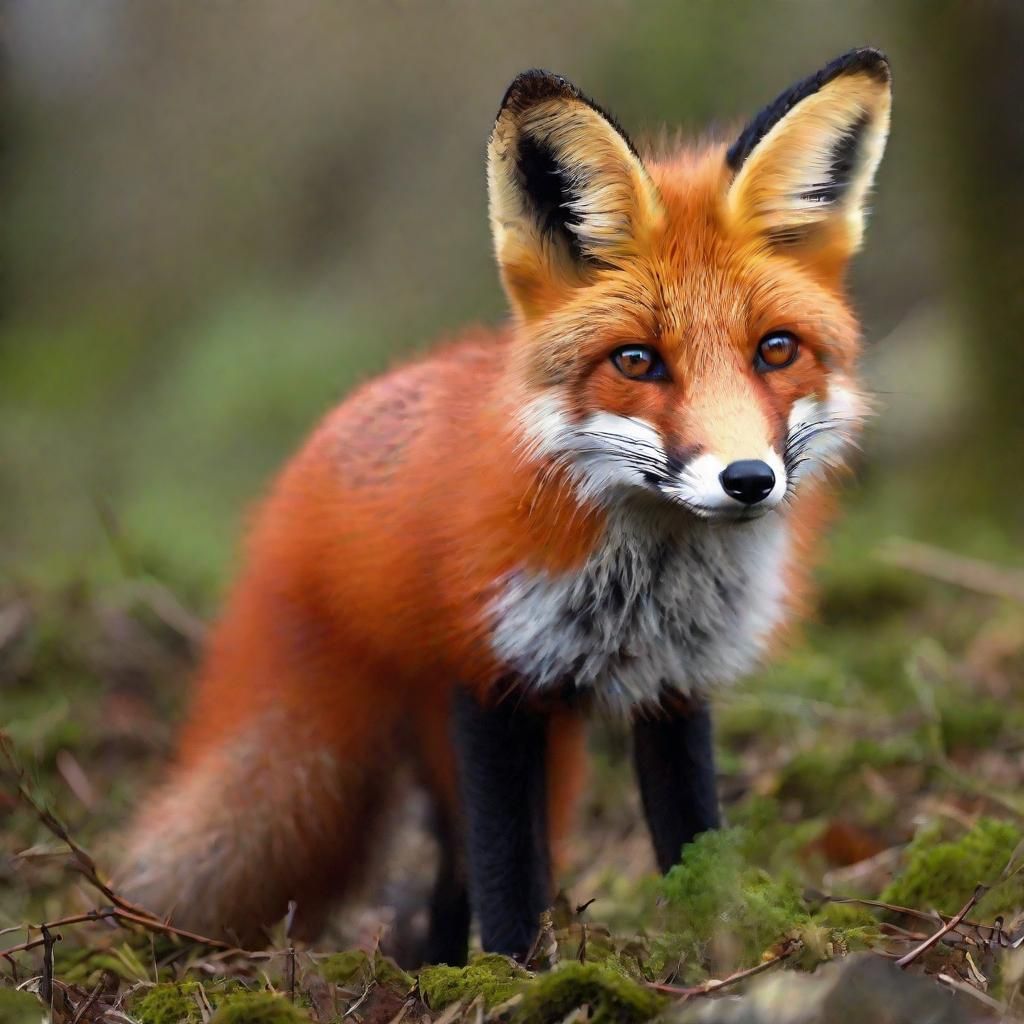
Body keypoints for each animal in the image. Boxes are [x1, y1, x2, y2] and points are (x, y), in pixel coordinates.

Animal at [119, 49, 892, 964]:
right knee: (443, 860)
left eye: (775, 351)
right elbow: (507, 877)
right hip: (345, 739)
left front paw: (720, 954)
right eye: (637, 361)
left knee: (450, 880)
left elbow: (691, 843)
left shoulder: (675, 686)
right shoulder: (489, 680)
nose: (747, 479)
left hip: (539, 760)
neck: (642, 586)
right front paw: (520, 976)